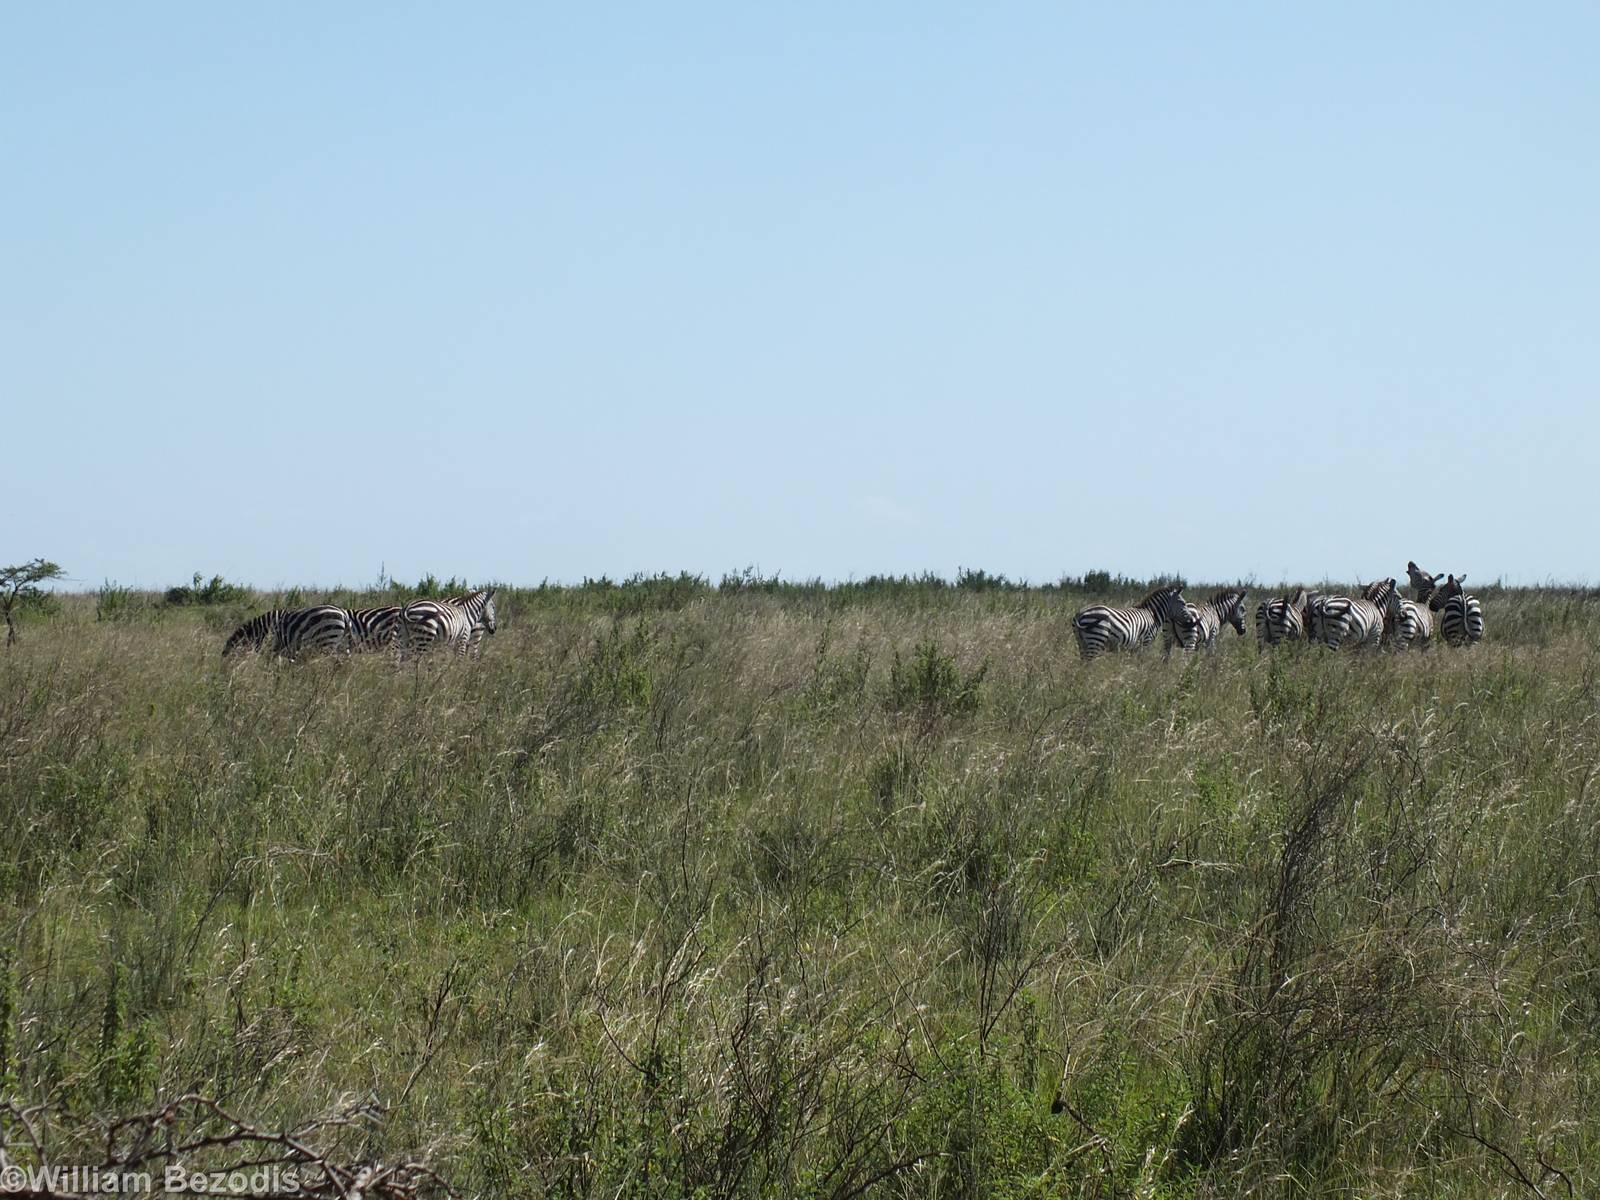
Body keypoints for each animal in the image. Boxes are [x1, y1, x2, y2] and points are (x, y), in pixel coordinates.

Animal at [222, 605, 354, 660]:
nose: (223, 672)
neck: (261, 631)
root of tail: (343, 614)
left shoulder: (274, 646)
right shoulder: (280, 648)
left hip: (327, 639)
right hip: (337, 642)